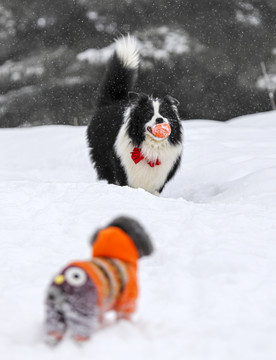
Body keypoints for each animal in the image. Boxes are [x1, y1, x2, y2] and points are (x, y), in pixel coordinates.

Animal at [44, 215, 154, 344]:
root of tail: (62, 282)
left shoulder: (100, 307)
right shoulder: (126, 302)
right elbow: (123, 317)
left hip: (54, 314)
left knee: (53, 332)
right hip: (81, 313)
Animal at [87, 35, 183, 195]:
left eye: (164, 113)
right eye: (149, 114)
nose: (160, 119)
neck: (151, 148)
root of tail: (112, 102)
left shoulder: (158, 181)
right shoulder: (124, 172)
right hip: (103, 158)